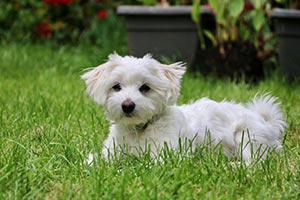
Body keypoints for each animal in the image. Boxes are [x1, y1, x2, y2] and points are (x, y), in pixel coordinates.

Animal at [81, 54, 286, 163]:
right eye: (116, 86)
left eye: (145, 88)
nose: (127, 105)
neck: (139, 130)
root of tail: (266, 122)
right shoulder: (112, 151)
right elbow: (96, 161)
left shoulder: (170, 153)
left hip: (247, 136)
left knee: (254, 162)